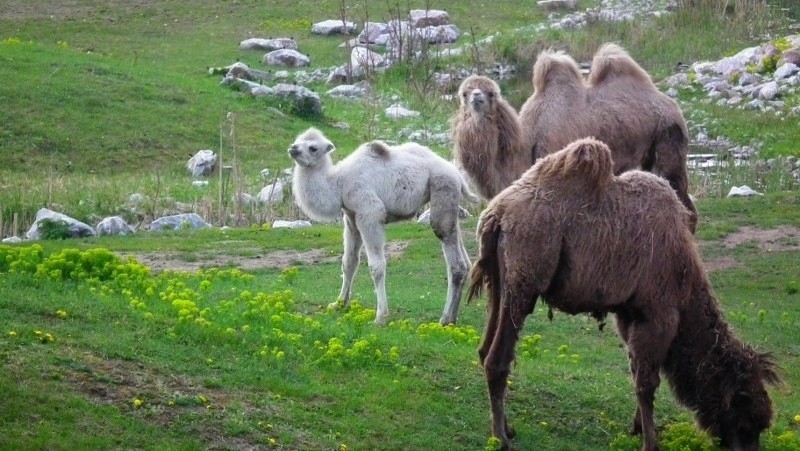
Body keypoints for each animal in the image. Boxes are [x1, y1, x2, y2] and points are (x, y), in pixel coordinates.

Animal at [288, 127, 476, 324]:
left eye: (313, 148)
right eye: (297, 140)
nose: (293, 149)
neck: (339, 183)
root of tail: (457, 176)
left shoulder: (369, 212)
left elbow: (376, 266)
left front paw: (380, 316)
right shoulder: (351, 217)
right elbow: (349, 262)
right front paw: (338, 304)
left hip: (442, 187)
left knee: (454, 259)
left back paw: (444, 319)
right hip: (450, 202)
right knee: (464, 258)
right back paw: (452, 318)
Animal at [466, 138, 780, 451]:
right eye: (746, 413)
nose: (750, 447)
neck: (684, 276)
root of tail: (497, 216)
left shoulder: (630, 313)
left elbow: (636, 370)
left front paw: (638, 427)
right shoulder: (658, 313)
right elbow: (647, 382)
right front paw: (650, 441)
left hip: (499, 283)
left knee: (484, 348)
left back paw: (508, 428)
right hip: (525, 281)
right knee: (497, 358)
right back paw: (500, 437)